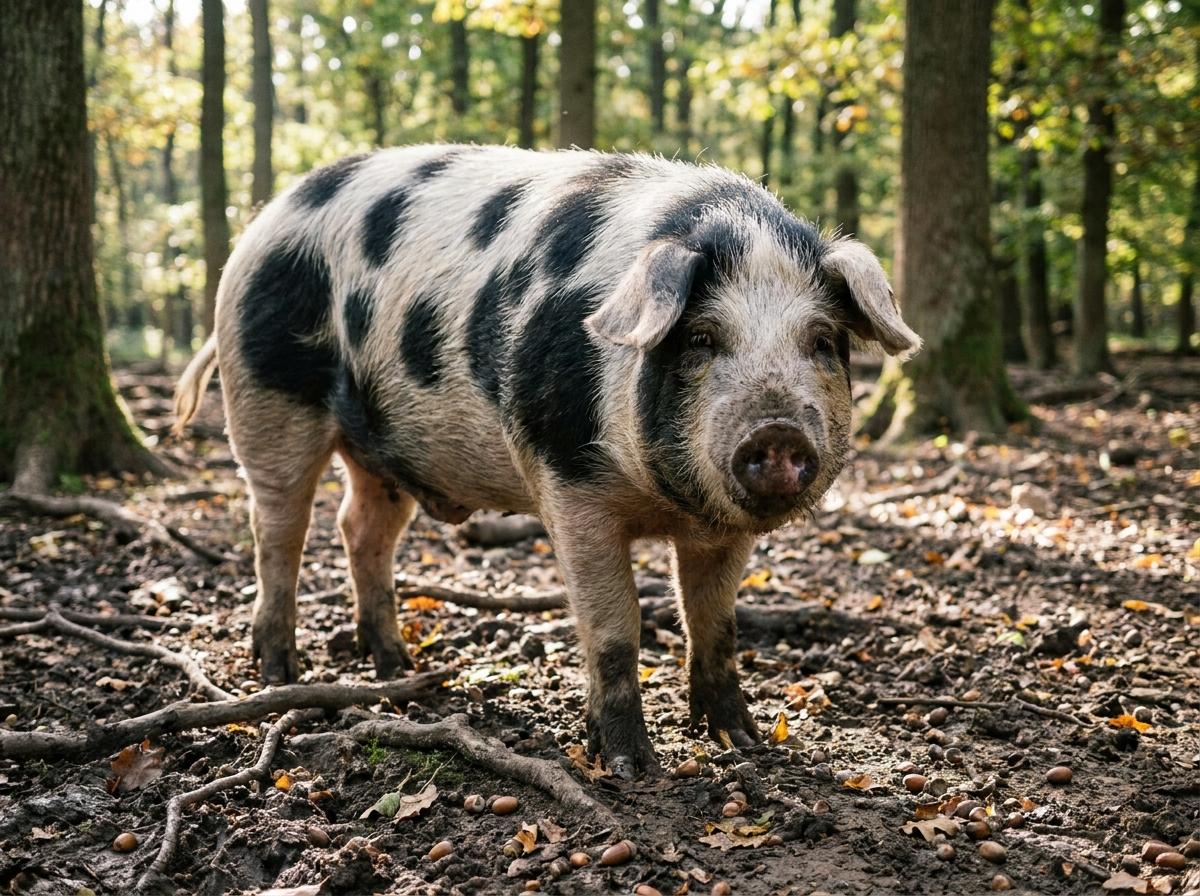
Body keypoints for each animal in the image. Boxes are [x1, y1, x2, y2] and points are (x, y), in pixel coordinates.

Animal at [175, 145, 919, 778]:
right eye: (703, 339)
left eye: (820, 341)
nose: (777, 432)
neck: (665, 500)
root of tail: (265, 219)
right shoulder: (568, 481)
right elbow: (615, 626)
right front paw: (631, 768)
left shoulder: (722, 531)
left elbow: (715, 624)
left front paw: (746, 742)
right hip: (268, 396)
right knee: (278, 528)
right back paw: (279, 672)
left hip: (384, 451)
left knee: (360, 530)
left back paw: (394, 666)